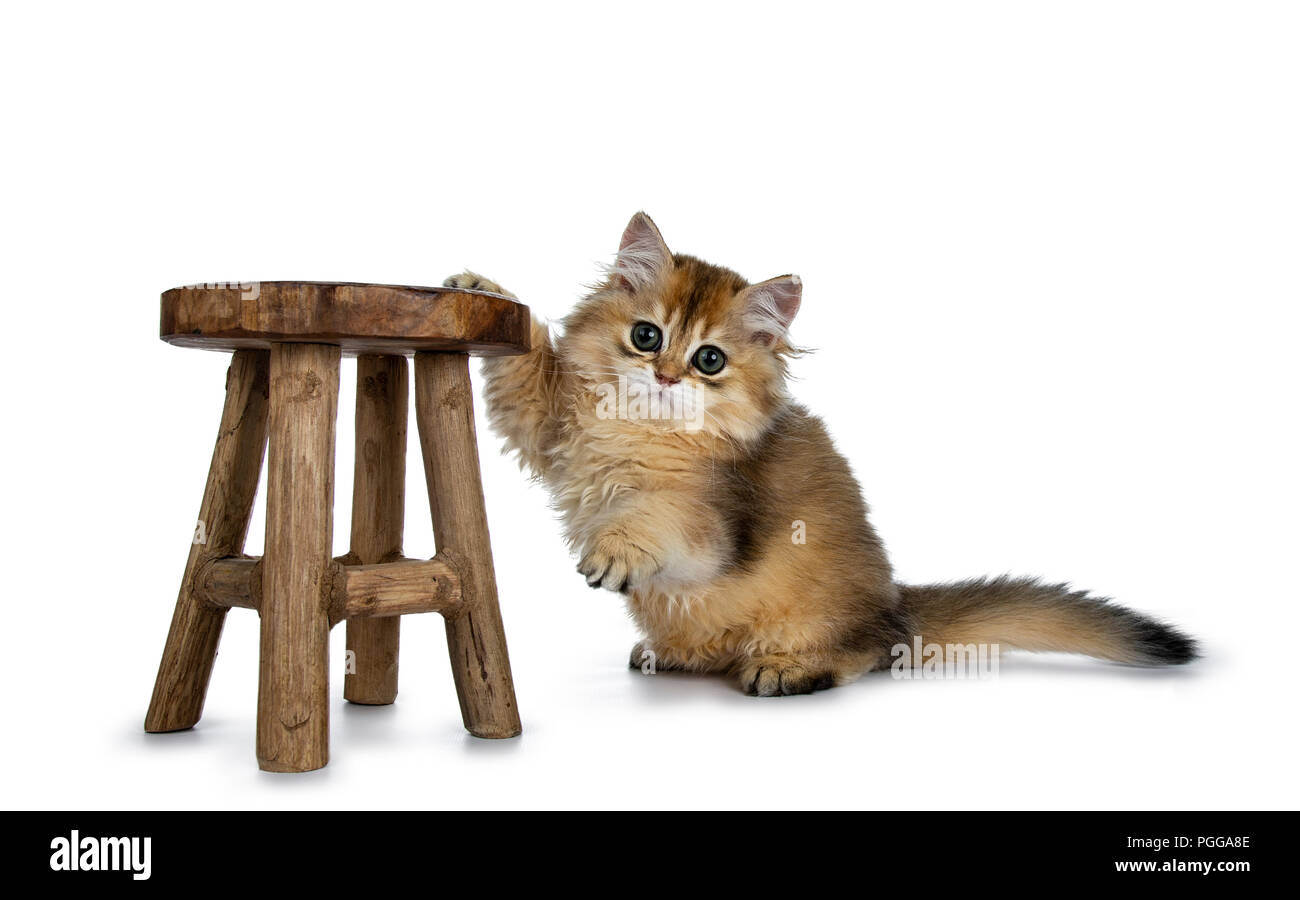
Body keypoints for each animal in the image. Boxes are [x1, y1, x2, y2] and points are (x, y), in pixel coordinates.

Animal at [449, 213, 1196, 697]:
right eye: (646, 336)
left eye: (709, 359)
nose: (664, 377)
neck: (637, 431)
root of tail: (896, 600)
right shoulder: (548, 429)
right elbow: (525, 361)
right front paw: (481, 290)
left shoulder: (713, 524)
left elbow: (654, 519)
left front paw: (616, 548)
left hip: (830, 619)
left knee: (872, 652)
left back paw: (790, 668)